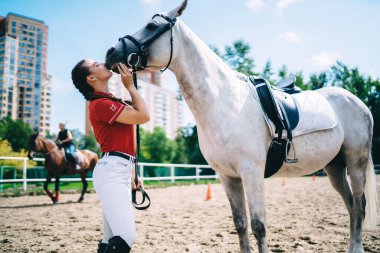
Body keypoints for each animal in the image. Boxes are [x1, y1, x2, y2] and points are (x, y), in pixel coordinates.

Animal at [105, 0, 378, 252]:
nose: (110, 53)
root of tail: (357, 102)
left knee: (359, 206)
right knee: (351, 205)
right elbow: (241, 224)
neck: (226, 103)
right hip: (335, 167)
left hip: (356, 162)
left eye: (152, 26)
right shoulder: (229, 177)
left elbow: (259, 226)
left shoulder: (252, 172)